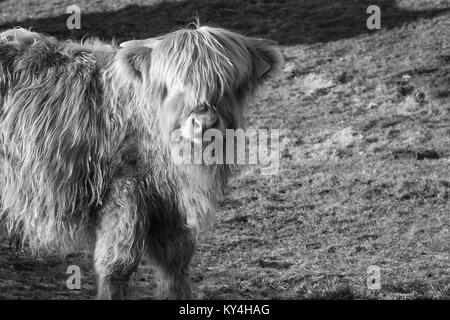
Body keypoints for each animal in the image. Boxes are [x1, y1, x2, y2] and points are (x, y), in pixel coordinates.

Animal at [0, 25, 284, 300]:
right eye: (175, 85)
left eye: (226, 84)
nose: (204, 123)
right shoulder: (123, 195)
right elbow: (116, 266)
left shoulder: (170, 210)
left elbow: (175, 264)